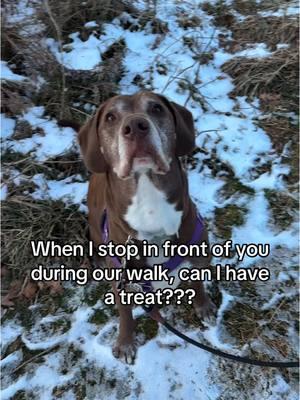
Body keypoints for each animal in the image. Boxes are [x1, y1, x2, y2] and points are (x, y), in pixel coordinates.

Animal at [79, 92, 216, 364]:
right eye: (110, 117)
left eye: (156, 108)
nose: (135, 126)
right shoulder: (120, 281)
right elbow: (125, 315)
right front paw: (125, 343)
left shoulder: (199, 258)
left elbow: (198, 285)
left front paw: (204, 306)